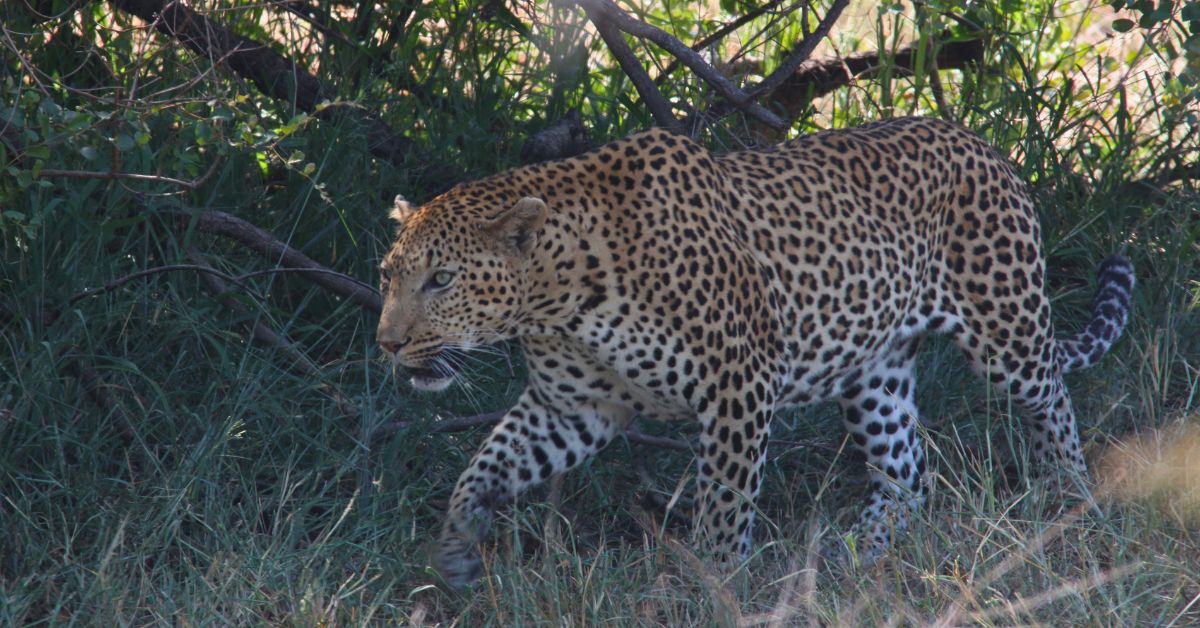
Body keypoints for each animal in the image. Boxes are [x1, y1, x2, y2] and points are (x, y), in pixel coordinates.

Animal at [376, 116, 1134, 588]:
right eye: (389, 274)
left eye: (441, 280)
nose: (388, 342)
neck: (559, 300)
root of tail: (984, 143)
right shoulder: (573, 408)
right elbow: (483, 467)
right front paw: (457, 554)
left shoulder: (736, 385)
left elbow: (723, 506)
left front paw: (715, 588)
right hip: (874, 371)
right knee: (905, 473)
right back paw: (853, 557)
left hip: (1006, 327)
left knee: (1052, 403)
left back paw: (1074, 504)